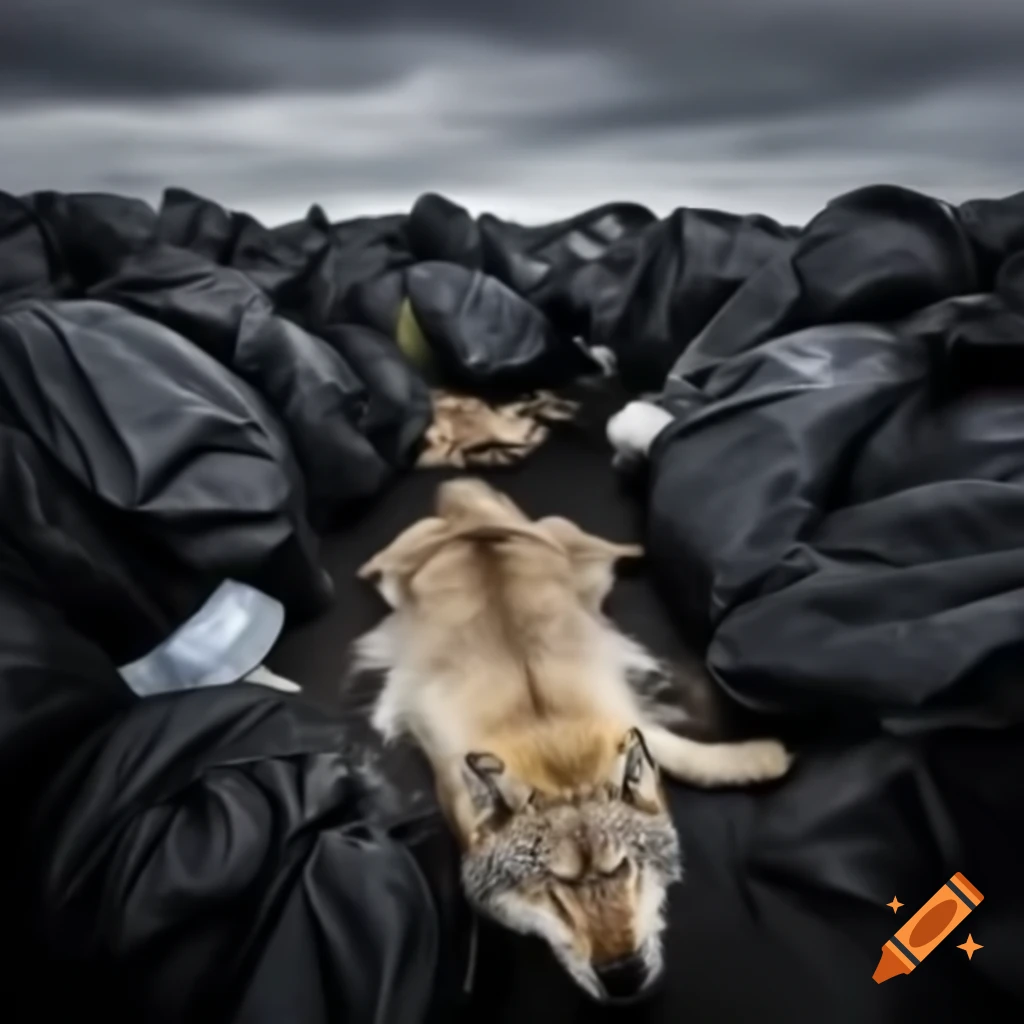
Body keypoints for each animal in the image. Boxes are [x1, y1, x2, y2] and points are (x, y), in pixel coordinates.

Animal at [351, 478, 792, 1003]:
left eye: (623, 869)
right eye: (551, 894)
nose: (623, 975)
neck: (558, 760)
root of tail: (469, 522)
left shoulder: (627, 720)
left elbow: (686, 755)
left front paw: (758, 757)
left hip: (570, 546)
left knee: (604, 548)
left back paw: (634, 546)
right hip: (402, 568)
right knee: (380, 561)